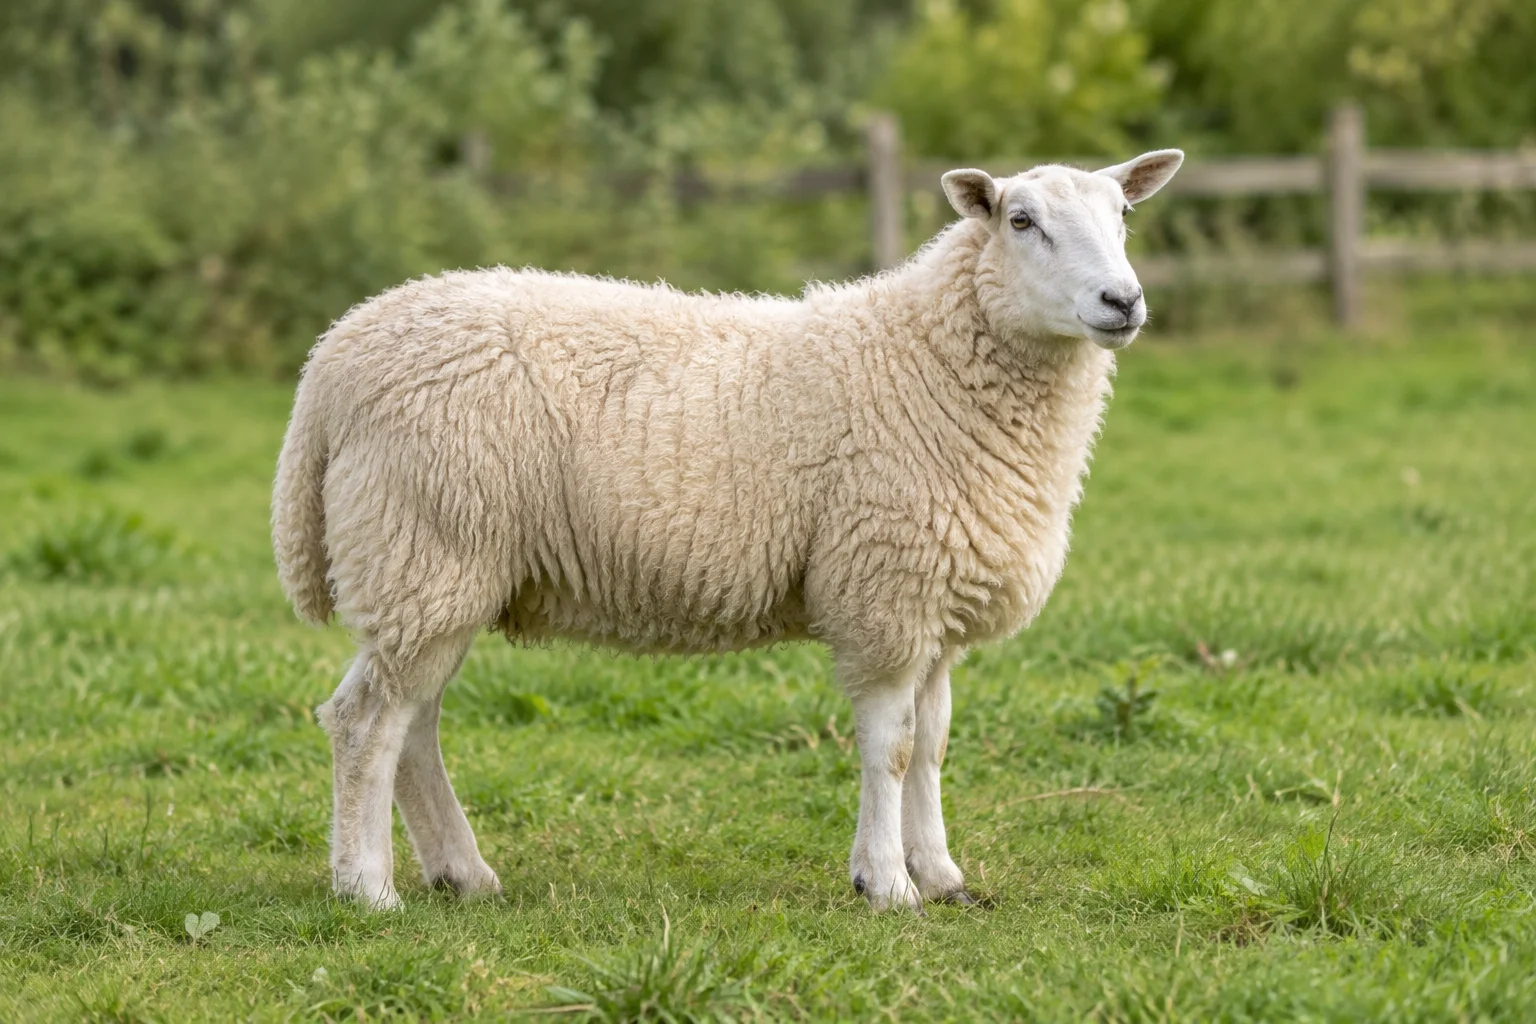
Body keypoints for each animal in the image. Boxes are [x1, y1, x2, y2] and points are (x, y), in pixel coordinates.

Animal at [272, 149, 1185, 913]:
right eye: (1021, 221)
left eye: (1124, 216)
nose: (1123, 301)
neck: (928, 359)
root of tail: (331, 362)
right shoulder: (884, 591)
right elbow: (890, 748)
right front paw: (886, 883)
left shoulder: (935, 599)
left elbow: (931, 746)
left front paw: (941, 874)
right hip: (426, 547)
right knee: (367, 723)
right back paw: (368, 889)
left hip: (438, 569)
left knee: (414, 728)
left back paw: (462, 874)